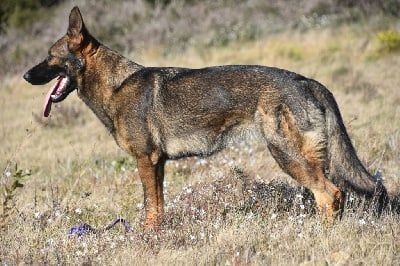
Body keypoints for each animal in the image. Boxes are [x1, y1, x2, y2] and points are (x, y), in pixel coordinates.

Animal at [23, 7, 386, 230]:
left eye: (49, 57)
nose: (25, 76)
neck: (115, 85)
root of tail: (309, 81)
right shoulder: (157, 164)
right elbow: (157, 206)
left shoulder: (145, 160)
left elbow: (150, 207)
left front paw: (146, 237)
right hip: (311, 159)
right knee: (335, 194)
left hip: (287, 156)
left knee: (330, 194)